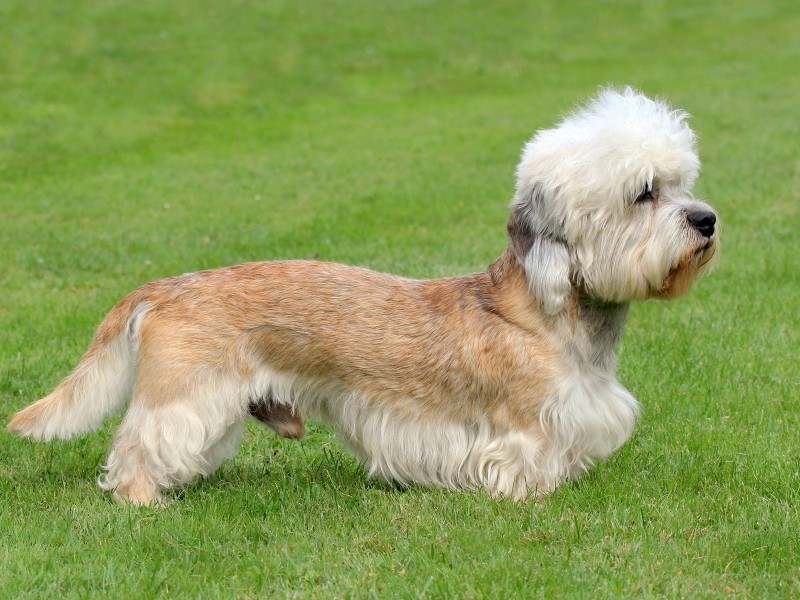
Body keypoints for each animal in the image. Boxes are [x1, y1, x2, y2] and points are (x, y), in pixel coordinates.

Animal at [6, 86, 720, 504]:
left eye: (684, 183)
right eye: (644, 193)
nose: (707, 220)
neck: (553, 317)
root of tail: (163, 287)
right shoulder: (522, 428)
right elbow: (523, 465)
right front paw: (528, 497)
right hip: (184, 397)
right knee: (138, 445)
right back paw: (142, 500)